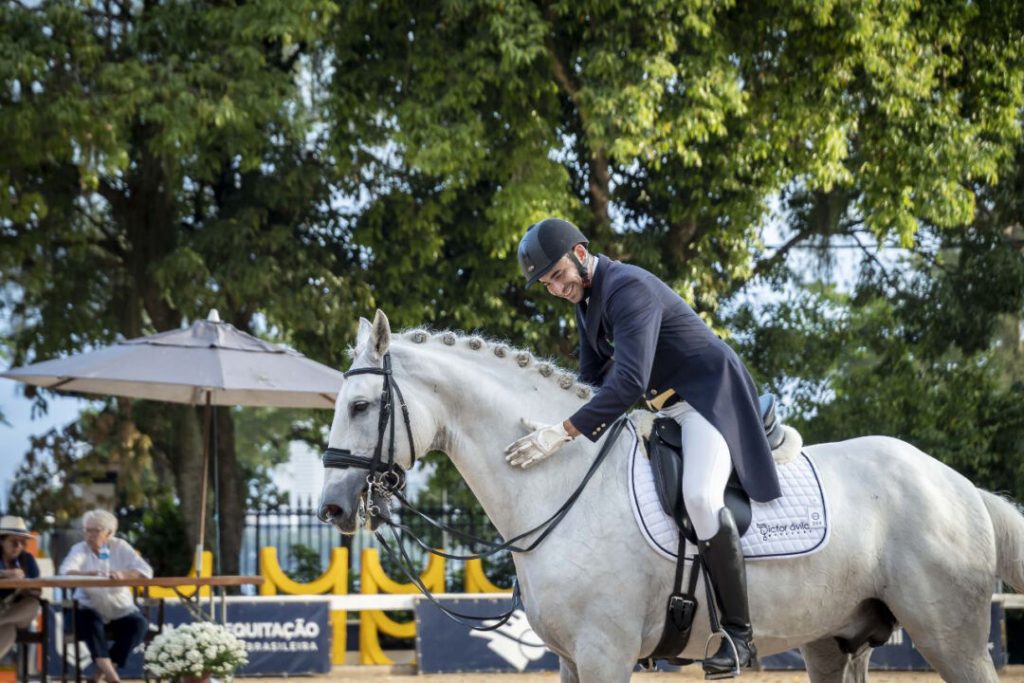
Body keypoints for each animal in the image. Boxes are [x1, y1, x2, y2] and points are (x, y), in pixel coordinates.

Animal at [319, 311, 1024, 683]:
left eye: (360, 406)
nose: (331, 507)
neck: (564, 486)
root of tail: (957, 484)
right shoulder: (570, 660)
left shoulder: (605, 655)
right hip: (833, 641)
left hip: (953, 640)